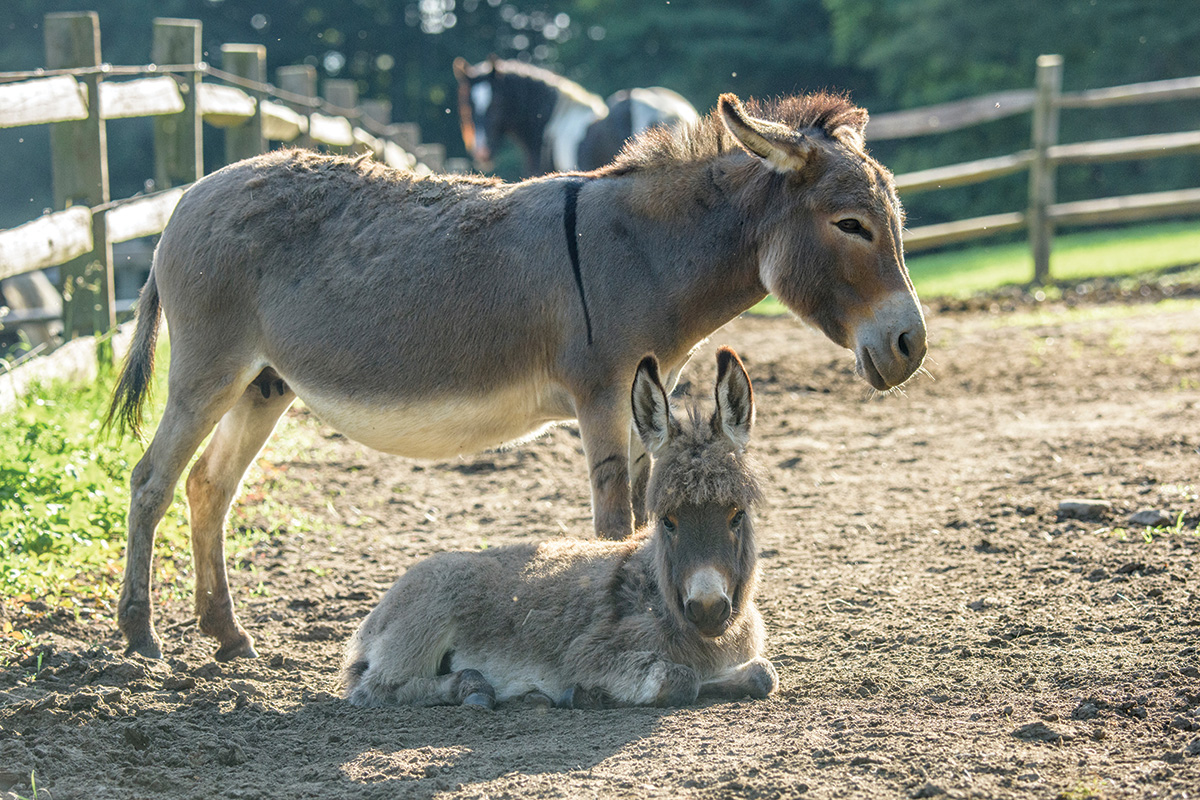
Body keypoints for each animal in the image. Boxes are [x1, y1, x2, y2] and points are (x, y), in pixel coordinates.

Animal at [345, 347, 777, 710]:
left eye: (736, 514)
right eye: (667, 520)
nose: (707, 609)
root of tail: (376, 615)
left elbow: (763, 674)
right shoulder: (588, 653)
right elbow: (680, 678)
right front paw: (585, 694)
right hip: (422, 625)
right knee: (374, 688)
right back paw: (472, 687)